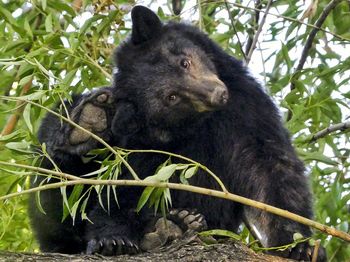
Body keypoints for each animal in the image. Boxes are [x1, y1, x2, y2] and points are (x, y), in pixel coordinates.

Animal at [29, 5, 326, 260]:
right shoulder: (139, 145)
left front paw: (298, 244)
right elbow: (124, 188)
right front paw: (112, 239)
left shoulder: (246, 105)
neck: (196, 122)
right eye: (171, 97)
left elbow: (269, 166)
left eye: (185, 62)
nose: (217, 94)